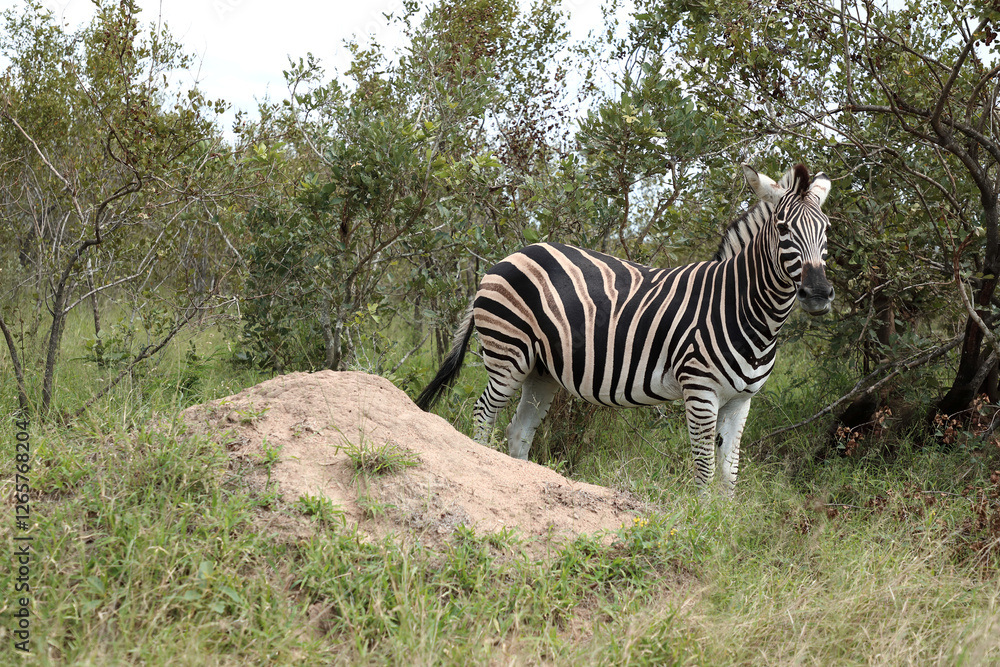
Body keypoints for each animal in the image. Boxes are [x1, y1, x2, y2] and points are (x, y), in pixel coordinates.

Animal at [415, 164, 834, 495]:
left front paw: (725, 525)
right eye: (783, 228)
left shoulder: (741, 400)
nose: (819, 293)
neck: (744, 309)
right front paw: (702, 521)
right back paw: (484, 464)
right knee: (484, 412)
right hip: (509, 352)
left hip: (541, 369)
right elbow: (703, 468)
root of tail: (510, 256)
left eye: (826, 231)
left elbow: (729, 474)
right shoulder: (699, 390)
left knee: (518, 431)